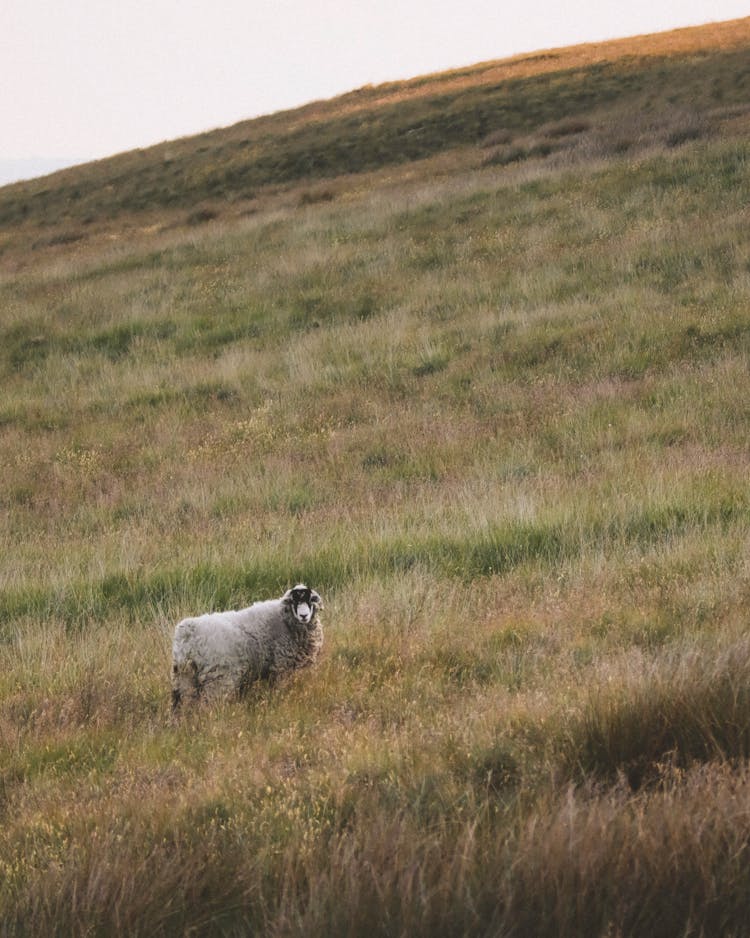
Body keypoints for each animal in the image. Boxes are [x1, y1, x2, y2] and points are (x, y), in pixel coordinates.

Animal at [172, 580, 324, 704]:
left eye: (311, 599)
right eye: (294, 601)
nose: (303, 615)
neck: (285, 620)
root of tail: (188, 633)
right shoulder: (282, 668)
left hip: (184, 679)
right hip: (217, 680)